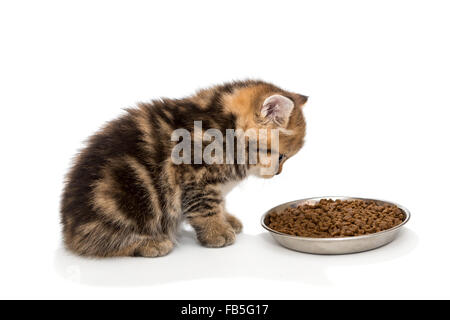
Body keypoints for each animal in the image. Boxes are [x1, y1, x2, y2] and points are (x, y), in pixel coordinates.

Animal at [61, 80, 308, 258]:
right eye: (281, 157)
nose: (278, 173)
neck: (226, 128)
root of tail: (69, 230)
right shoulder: (194, 177)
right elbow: (205, 207)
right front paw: (216, 232)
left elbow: (219, 202)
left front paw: (226, 220)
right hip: (128, 195)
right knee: (99, 242)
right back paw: (150, 243)